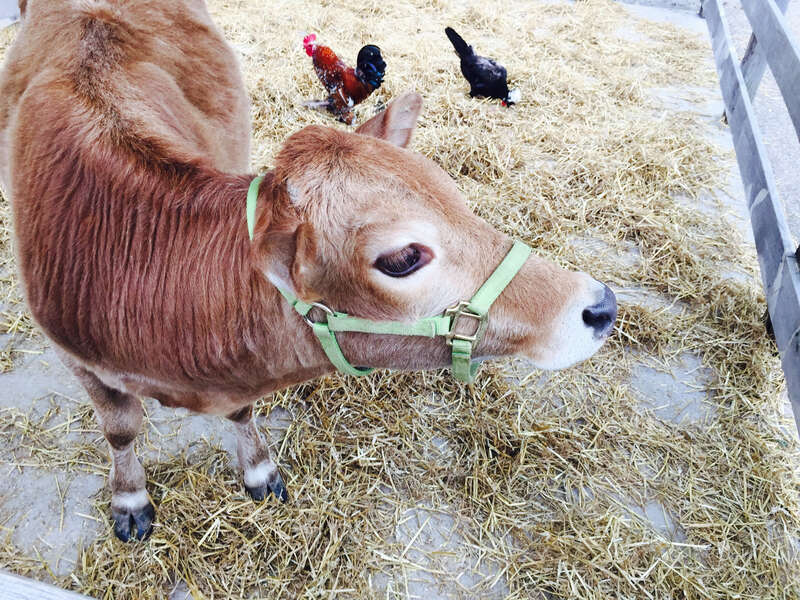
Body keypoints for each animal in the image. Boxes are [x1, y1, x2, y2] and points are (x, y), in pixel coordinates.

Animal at [0, 0, 616, 542]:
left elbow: (241, 414)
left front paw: (259, 470)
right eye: (401, 258)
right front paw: (130, 500)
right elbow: (121, 429)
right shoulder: (76, 357)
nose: (601, 305)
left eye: (455, 198)